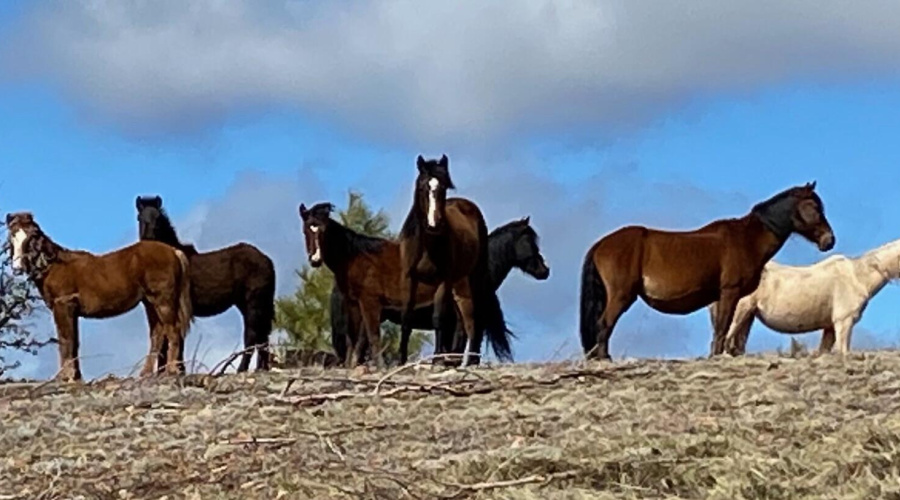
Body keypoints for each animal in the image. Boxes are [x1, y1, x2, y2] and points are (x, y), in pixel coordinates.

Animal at [6, 212, 192, 381]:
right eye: (12, 237)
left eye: (31, 237)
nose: (17, 267)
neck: (54, 266)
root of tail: (174, 251)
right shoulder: (71, 311)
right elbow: (74, 342)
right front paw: (75, 376)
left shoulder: (63, 305)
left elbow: (66, 340)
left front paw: (65, 376)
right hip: (150, 302)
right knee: (158, 333)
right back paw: (146, 373)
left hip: (163, 301)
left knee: (173, 331)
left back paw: (172, 370)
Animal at [136, 196, 276, 372]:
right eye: (140, 217)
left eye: (158, 218)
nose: (149, 244)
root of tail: (267, 260)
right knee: (262, 337)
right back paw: (260, 368)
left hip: (253, 303)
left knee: (252, 336)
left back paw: (242, 369)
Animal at [398, 154, 506, 367]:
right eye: (422, 187)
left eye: (444, 188)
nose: (434, 223)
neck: (427, 245)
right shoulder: (409, 279)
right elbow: (407, 317)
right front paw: (400, 359)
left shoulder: (443, 282)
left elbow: (438, 318)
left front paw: (437, 359)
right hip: (458, 283)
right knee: (461, 320)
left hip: (472, 279)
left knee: (471, 319)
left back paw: (467, 360)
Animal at [580, 182, 835, 360]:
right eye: (814, 207)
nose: (829, 240)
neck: (747, 239)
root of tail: (601, 243)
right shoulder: (730, 292)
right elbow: (723, 326)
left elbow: (722, 327)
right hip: (621, 295)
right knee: (604, 323)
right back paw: (604, 358)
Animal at [711, 237, 900, 356]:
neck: (858, 276)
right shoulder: (843, 321)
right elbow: (843, 350)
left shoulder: (830, 326)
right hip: (740, 311)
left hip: (748, 315)